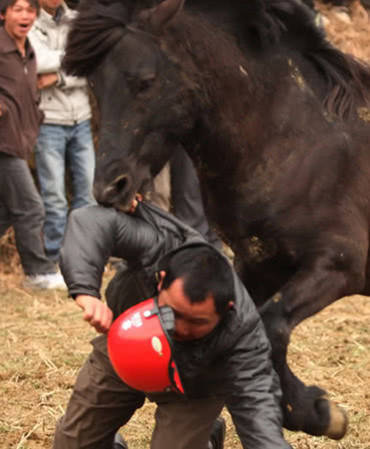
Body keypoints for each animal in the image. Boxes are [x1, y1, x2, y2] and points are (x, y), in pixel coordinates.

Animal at [63, 0, 370, 440]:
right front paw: (309, 410)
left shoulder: (338, 265)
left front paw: (319, 413)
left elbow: (272, 324)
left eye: (145, 81)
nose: (110, 188)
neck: (298, 140)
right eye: (94, 87)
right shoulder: (256, 266)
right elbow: (257, 328)